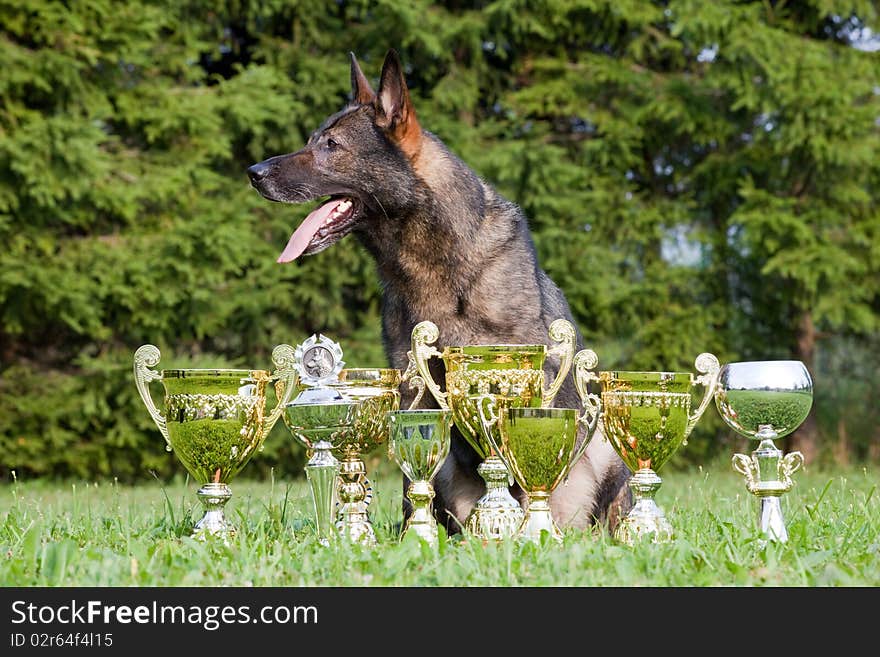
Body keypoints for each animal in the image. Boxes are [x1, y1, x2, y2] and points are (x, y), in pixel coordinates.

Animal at [248, 50, 632, 532]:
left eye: (331, 145)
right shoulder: (413, 392)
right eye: (313, 140)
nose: (253, 173)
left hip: (603, 448)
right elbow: (412, 483)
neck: (438, 266)